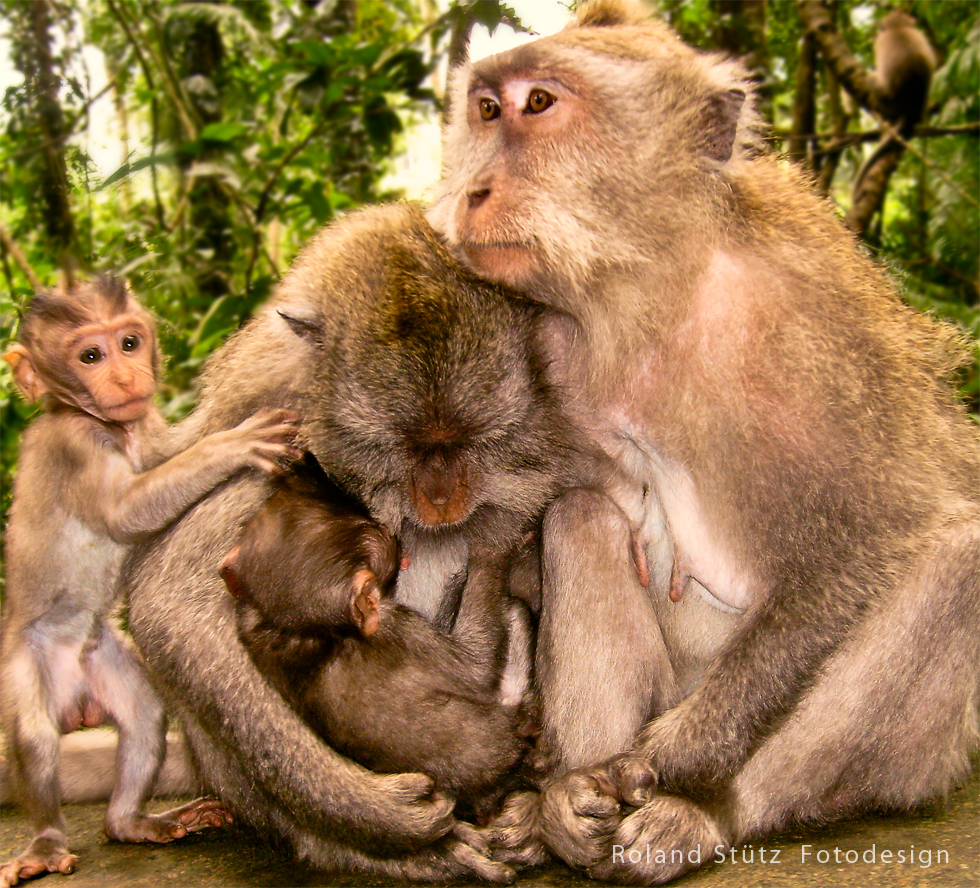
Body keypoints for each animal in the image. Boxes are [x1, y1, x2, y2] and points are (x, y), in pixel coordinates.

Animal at [0, 274, 298, 884]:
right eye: (90, 355)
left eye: (130, 342)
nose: (125, 376)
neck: (101, 423)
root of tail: (75, 699)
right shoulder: (76, 445)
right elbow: (125, 514)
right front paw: (231, 444)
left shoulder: (142, 425)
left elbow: (166, 450)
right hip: (26, 662)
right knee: (34, 737)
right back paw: (44, 843)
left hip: (102, 658)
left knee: (142, 717)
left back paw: (130, 823)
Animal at [428, 3, 980, 884]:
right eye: (485, 109)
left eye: (538, 104)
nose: (475, 191)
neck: (647, 293)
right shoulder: (540, 341)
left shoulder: (808, 325)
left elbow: (869, 536)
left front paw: (672, 760)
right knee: (580, 518)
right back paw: (569, 804)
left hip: (926, 759)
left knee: (958, 560)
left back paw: (708, 811)